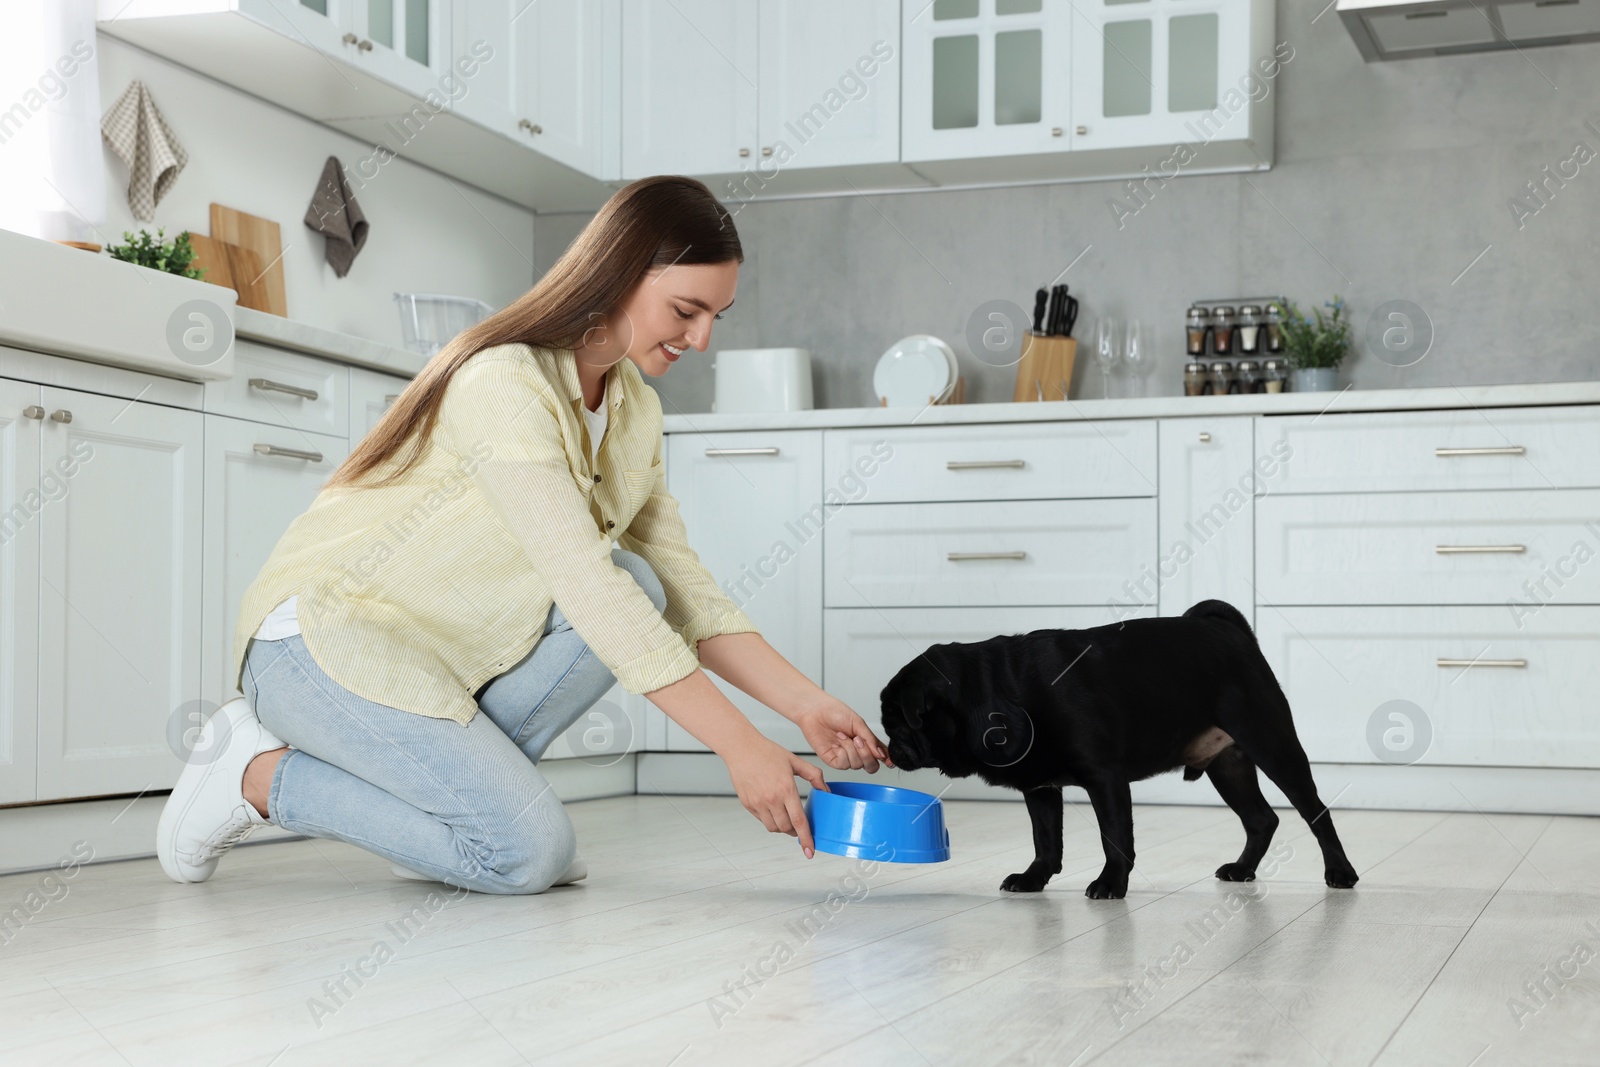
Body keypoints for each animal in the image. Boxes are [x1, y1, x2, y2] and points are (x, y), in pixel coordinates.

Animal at [883, 598, 1356, 895]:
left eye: (897, 723)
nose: (889, 748)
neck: (994, 692)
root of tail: (1228, 629)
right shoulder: (1040, 788)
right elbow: (1045, 840)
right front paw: (1034, 879)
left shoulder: (1104, 779)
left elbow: (1114, 837)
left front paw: (1111, 884)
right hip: (1228, 767)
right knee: (1261, 820)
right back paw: (1242, 870)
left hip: (1271, 743)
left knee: (1315, 812)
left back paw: (1340, 872)